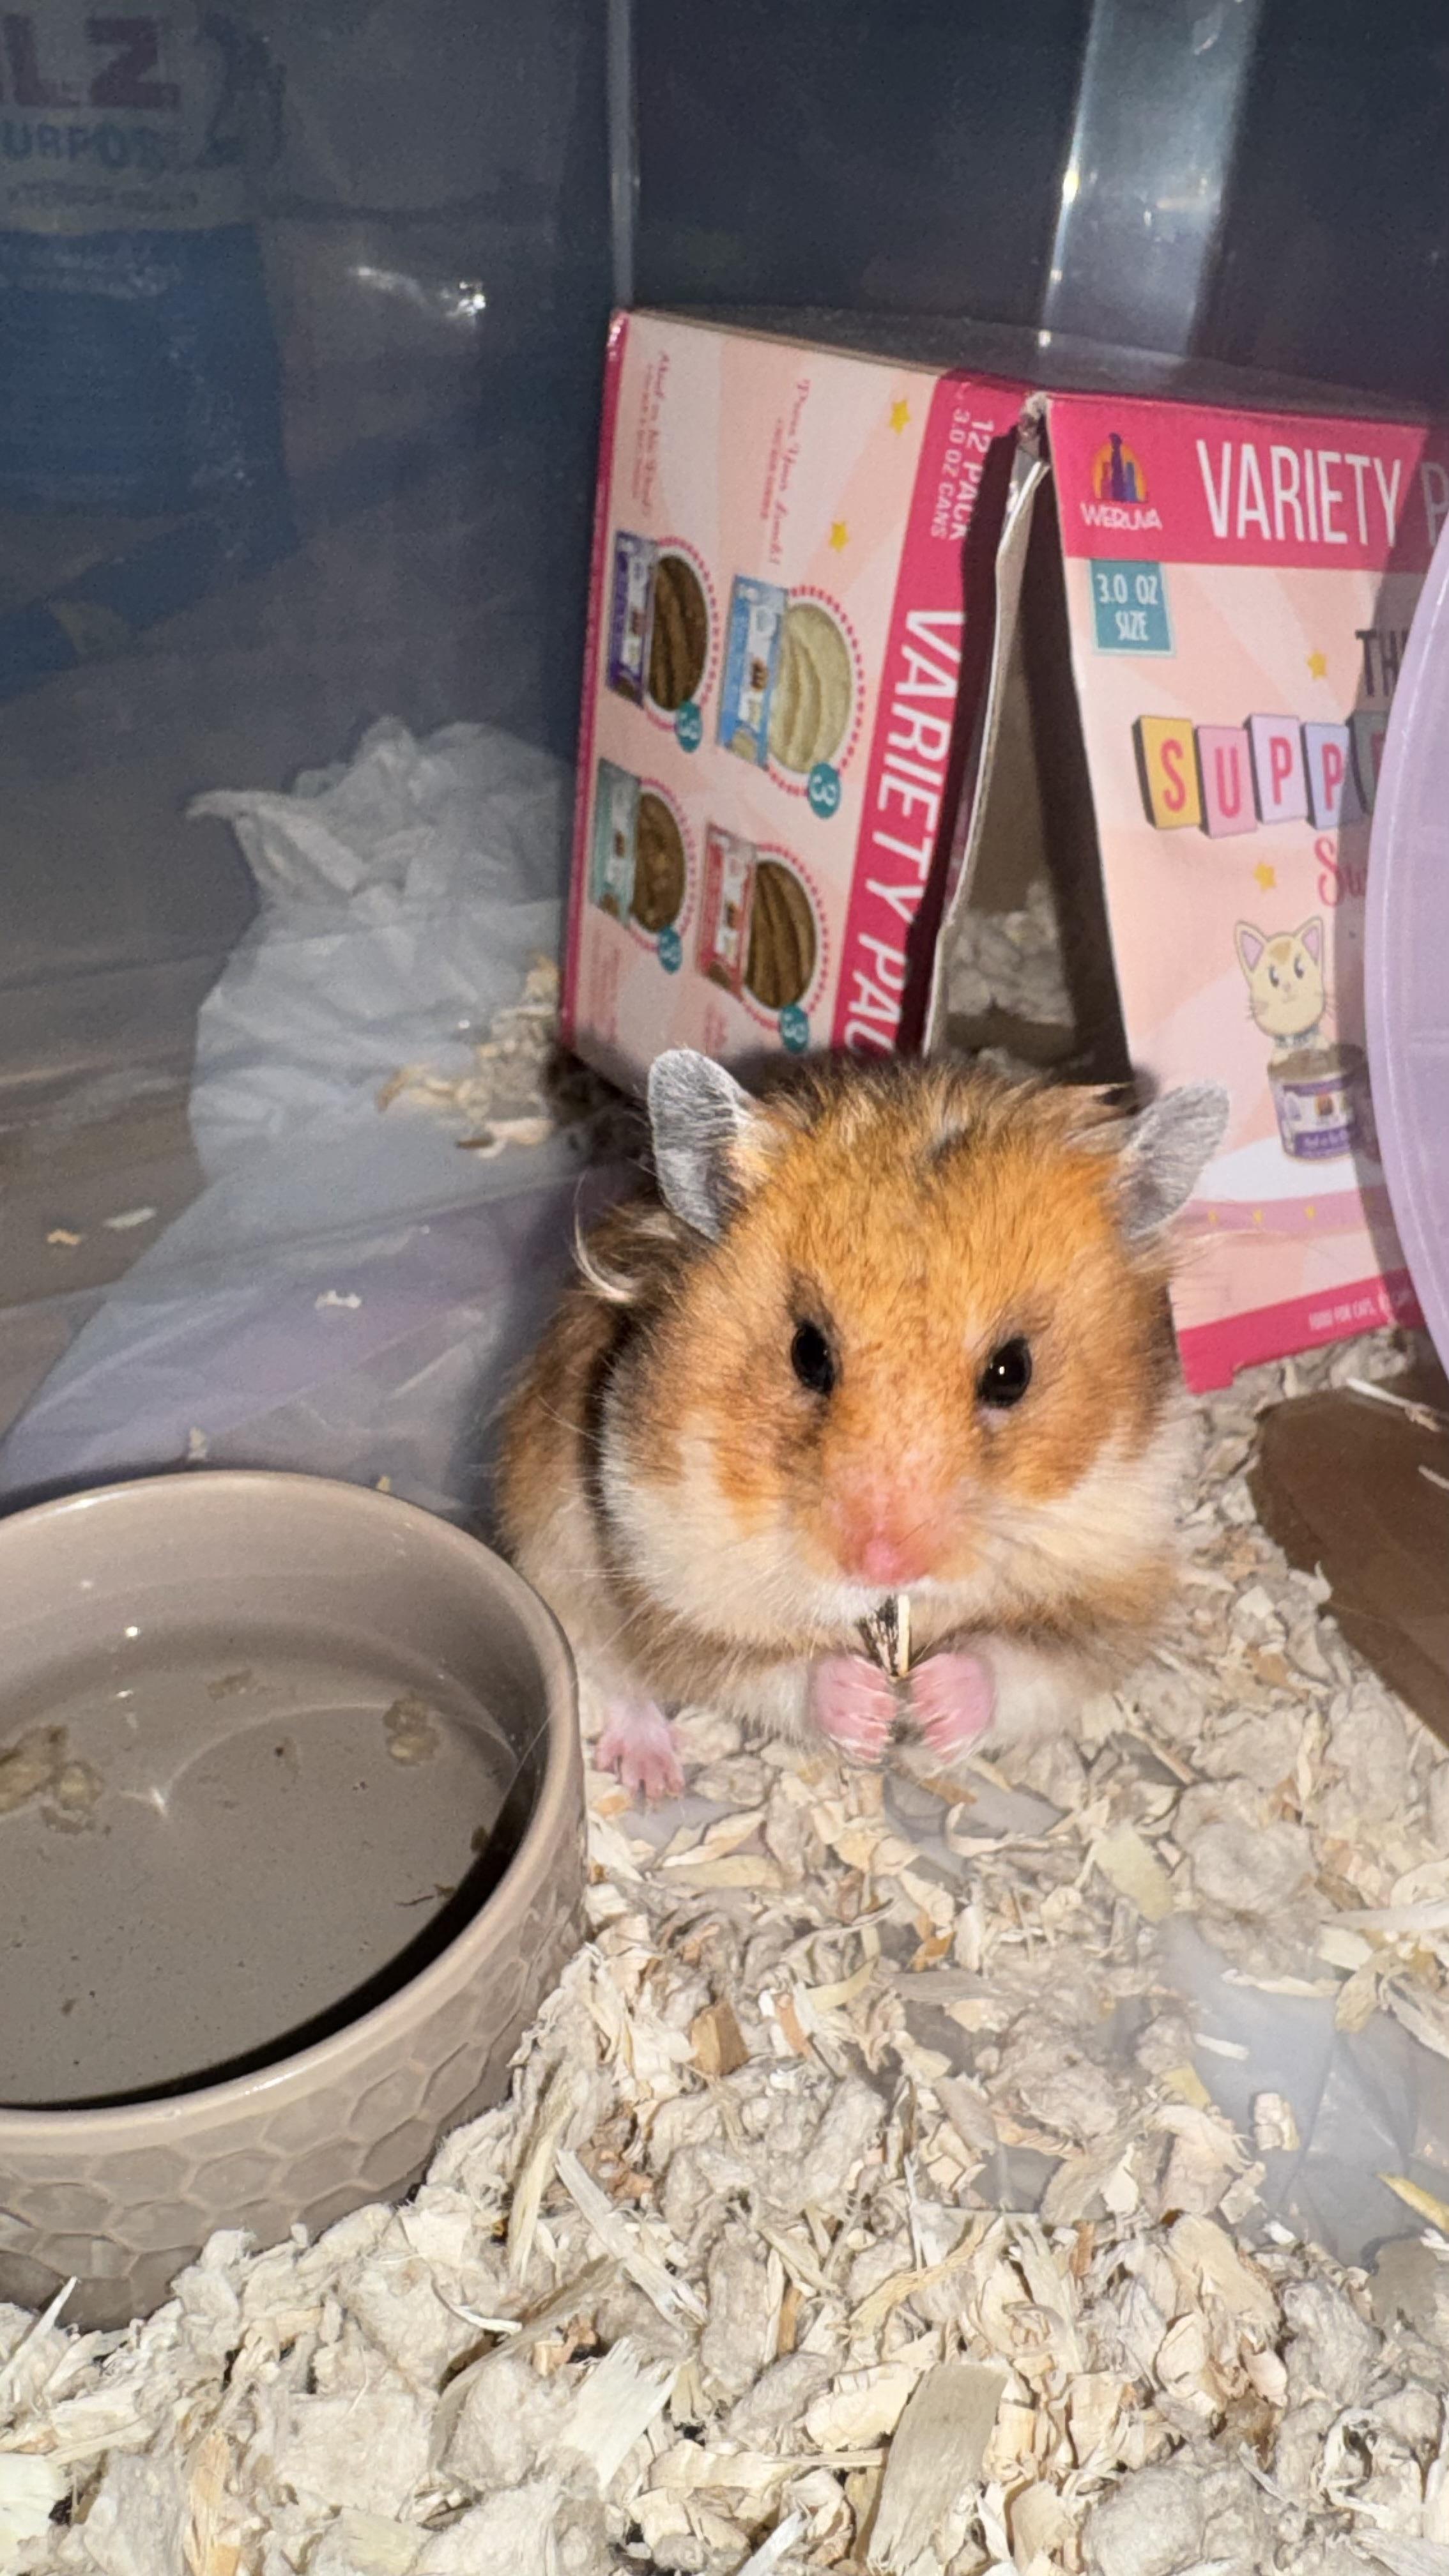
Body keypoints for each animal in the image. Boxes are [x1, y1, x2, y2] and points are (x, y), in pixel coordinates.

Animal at [496, 1048, 1228, 1800]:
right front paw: (872, 1713)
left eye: (1012, 1371)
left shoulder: (1109, 1591)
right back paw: (654, 1776)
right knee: (612, 1678)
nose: (882, 1564)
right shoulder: (671, 1579)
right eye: (809, 1354)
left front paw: (929, 1704)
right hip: (558, 1557)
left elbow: (1018, 1664)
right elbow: (774, 1670)